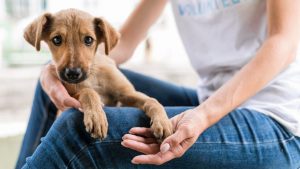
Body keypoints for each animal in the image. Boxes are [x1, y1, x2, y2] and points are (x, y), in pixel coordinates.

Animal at [23, 8, 172, 141]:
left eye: (89, 40)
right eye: (57, 39)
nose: (73, 73)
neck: (92, 76)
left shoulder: (127, 93)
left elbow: (152, 100)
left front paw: (163, 122)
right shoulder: (69, 97)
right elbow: (88, 92)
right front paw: (96, 117)